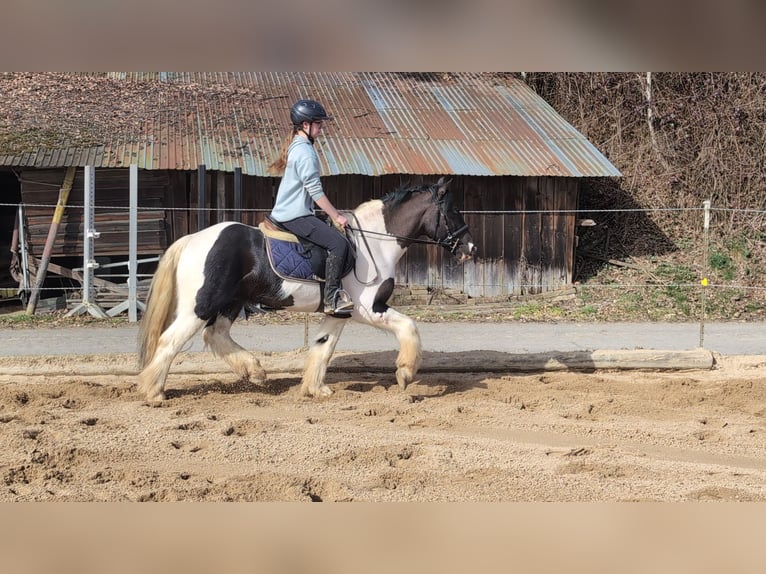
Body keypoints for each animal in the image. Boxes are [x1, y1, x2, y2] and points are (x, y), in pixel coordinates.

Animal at [136, 177, 476, 401]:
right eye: (453, 211)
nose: (470, 248)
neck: (376, 241)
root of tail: (191, 240)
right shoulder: (369, 308)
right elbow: (409, 326)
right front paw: (405, 373)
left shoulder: (339, 313)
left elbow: (323, 347)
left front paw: (316, 388)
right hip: (201, 304)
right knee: (170, 340)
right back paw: (154, 391)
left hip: (231, 302)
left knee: (215, 334)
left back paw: (255, 372)